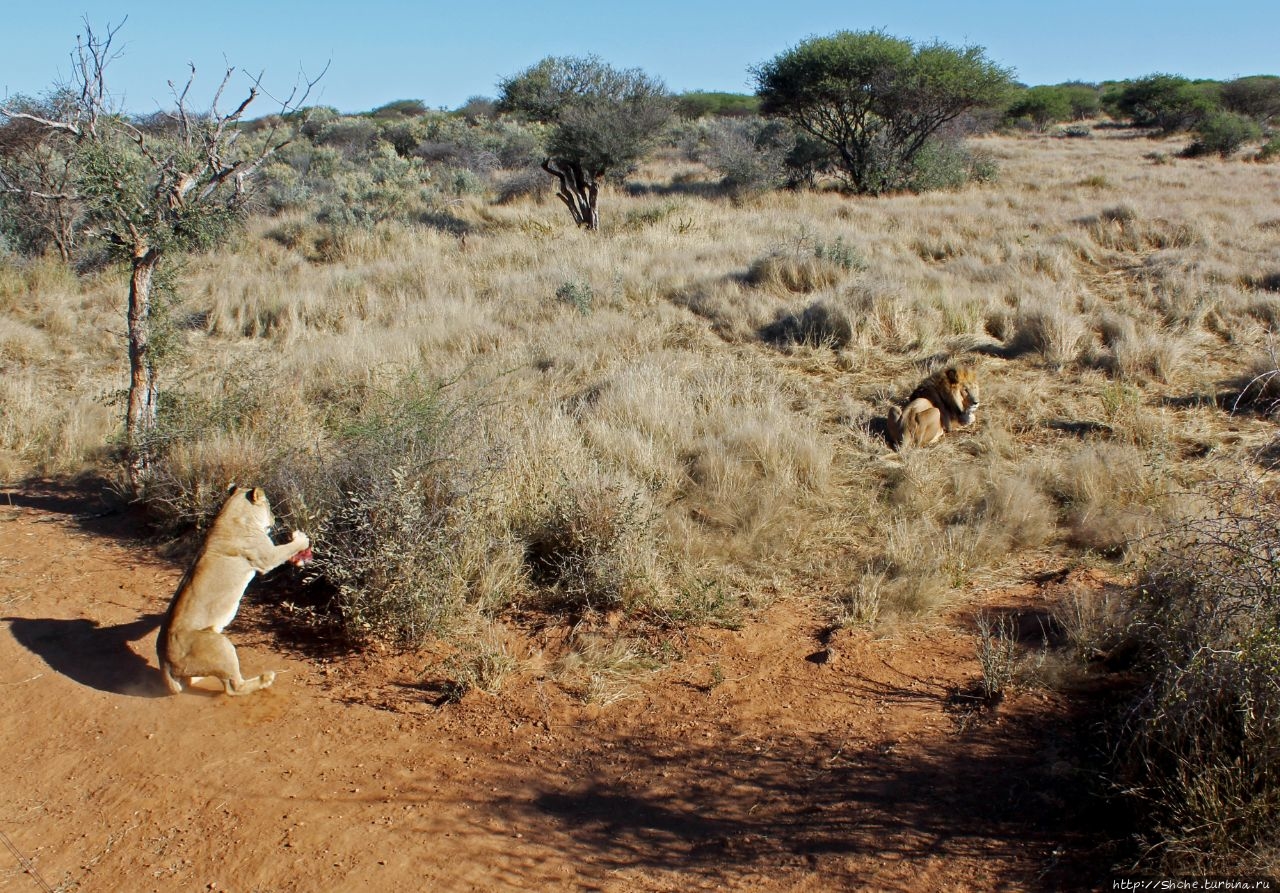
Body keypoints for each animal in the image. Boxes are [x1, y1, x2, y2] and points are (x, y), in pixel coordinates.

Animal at [157, 483, 309, 690]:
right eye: (269, 506)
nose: (275, 518)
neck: (232, 514)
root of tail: (163, 660)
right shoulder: (266, 557)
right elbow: (288, 549)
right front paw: (302, 539)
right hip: (220, 644)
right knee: (233, 687)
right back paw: (265, 679)